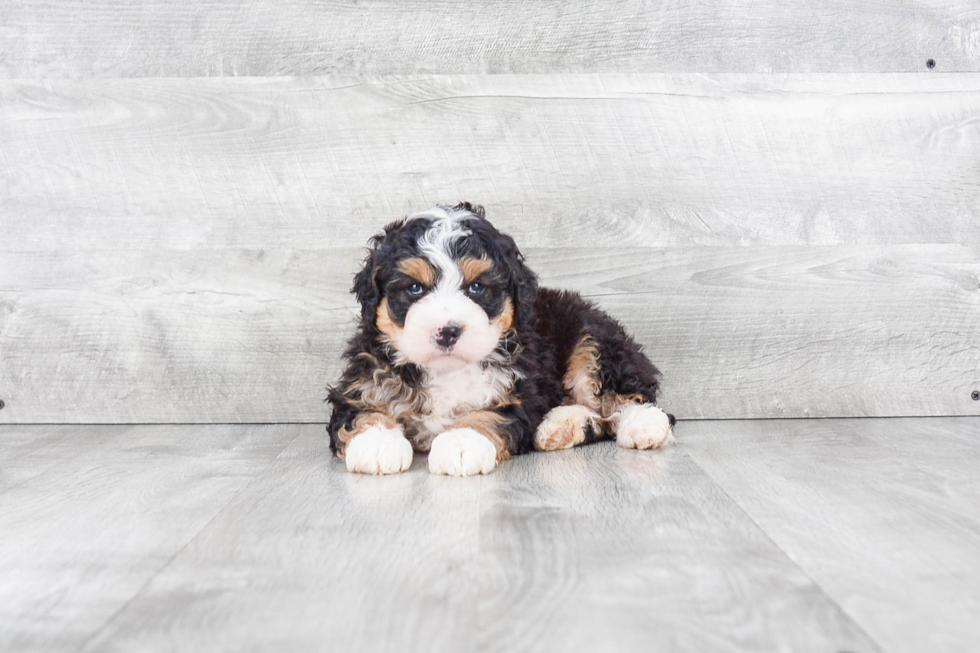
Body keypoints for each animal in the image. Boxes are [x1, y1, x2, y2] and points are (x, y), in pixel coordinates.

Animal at [330, 201, 672, 476]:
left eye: (477, 287)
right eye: (415, 288)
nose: (448, 331)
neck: (446, 369)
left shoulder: (519, 391)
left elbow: (488, 414)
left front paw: (461, 442)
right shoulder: (363, 379)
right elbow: (364, 412)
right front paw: (376, 443)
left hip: (593, 339)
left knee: (625, 396)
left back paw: (644, 424)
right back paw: (561, 426)